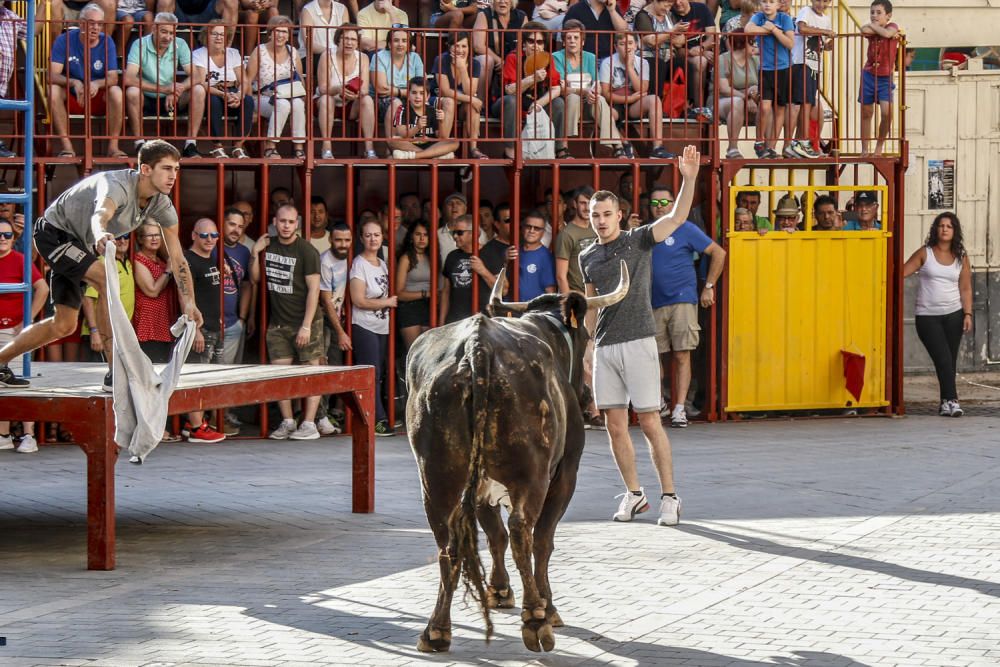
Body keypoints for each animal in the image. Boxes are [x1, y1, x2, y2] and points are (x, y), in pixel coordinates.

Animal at [404, 260, 624, 652]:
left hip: (437, 477)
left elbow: (494, 535)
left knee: (448, 543)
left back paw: (436, 630)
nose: (586, 394)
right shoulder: (565, 473)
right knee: (524, 532)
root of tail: (477, 347)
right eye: (585, 336)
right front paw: (547, 606)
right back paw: (536, 619)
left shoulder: (480, 490)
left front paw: (499, 590)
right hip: (531, 474)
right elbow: (541, 540)